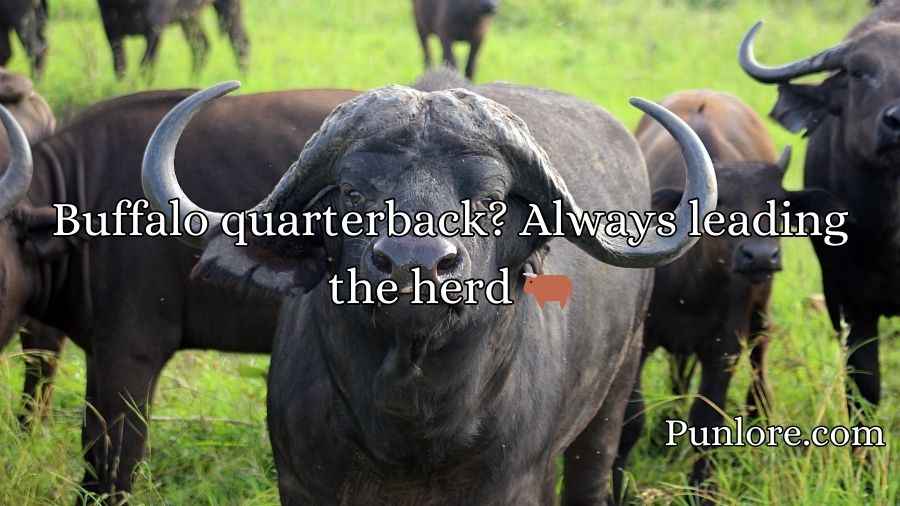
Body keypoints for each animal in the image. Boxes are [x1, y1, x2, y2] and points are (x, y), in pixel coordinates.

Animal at [97, 0, 250, 79]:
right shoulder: (110, 27)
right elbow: (120, 67)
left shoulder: (155, 28)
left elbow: (145, 68)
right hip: (188, 18)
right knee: (201, 45)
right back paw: (193, 80)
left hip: (230, 7)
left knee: (240, 43)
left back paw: (244, 78)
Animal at [142, 76, 717, 504]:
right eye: (352, 192)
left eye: (489, 200)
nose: (412, 264)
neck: (410, 426)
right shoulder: (302, 482)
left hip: (615, 393)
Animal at [613, 90, 841, 497]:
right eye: (721, 208)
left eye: (779, 205)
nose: (760, 255)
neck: (692, 284)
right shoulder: (640, 342)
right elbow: (630, 420)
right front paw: (619, 488)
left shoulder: (725, 346)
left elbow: (707, 420)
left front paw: (702, 491)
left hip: (761, 309)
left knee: (759, 358)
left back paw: (757, 416)